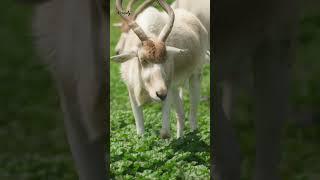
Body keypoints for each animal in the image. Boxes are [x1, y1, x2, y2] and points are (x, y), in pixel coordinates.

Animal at [111, 0, 209, 138]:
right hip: (175, 88)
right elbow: (140, 132)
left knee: (192, 115)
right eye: (143, 60)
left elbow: (165, 133)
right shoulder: (131, 91)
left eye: (165, 59)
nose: (160, 94)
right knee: (181, 113)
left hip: (194, 76)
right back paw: (181, 137)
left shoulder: (167, 90)